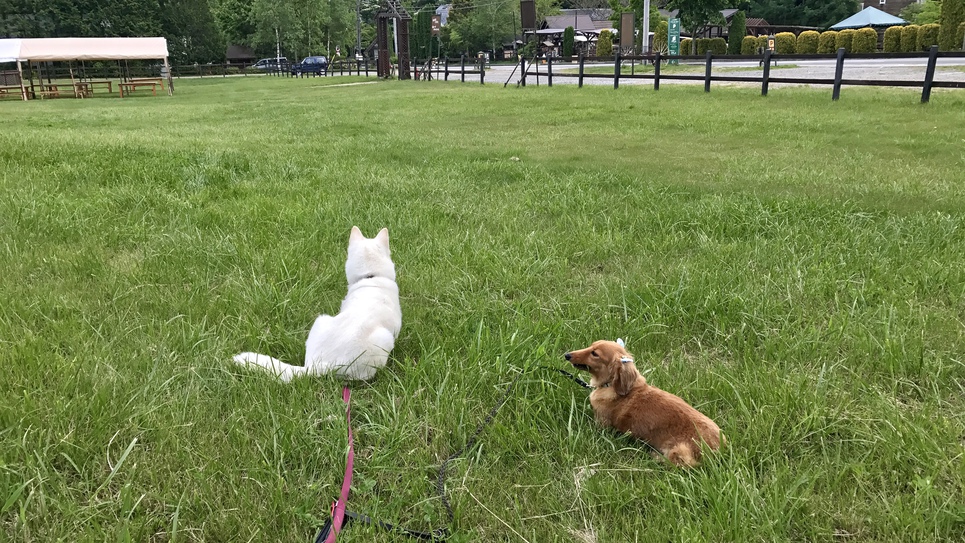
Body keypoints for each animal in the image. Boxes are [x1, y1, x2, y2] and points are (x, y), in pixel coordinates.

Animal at [564, 340, 724, 468]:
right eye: (591, 346)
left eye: (594, 354)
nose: (567, 355)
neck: (611, 386)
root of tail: (720, 449)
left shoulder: (601, 424)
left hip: (679, 450)